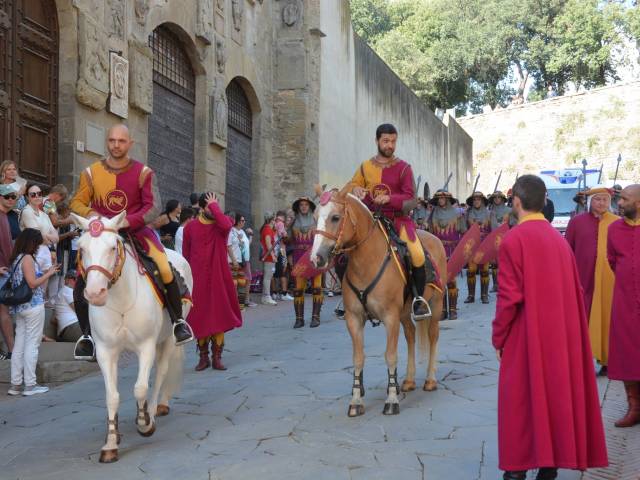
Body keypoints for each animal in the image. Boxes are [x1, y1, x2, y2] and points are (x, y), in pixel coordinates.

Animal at [72, 212, 192, 464]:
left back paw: (155, 408)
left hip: (168, 339)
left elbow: (140, 388)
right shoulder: (106, 352)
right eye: (82, 248)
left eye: (112, 247)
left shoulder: (146, 346)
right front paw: (110, 442)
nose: (95, 294)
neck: (119, 298)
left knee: (161, 371)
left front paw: (144, 422)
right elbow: (112, 396)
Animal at [310, 187, 444, 416]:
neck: (366, 261)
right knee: (410, 335)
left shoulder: (390, 317)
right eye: (315, 217)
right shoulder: (354, 319)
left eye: (335, 217)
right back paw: (409, 380)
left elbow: (390, 355)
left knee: (433, 335)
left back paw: (430, 379)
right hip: (404, 313)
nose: (316, 258)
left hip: (435, 306)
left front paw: (391, 400)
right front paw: (356, 401)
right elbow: (358, 358)